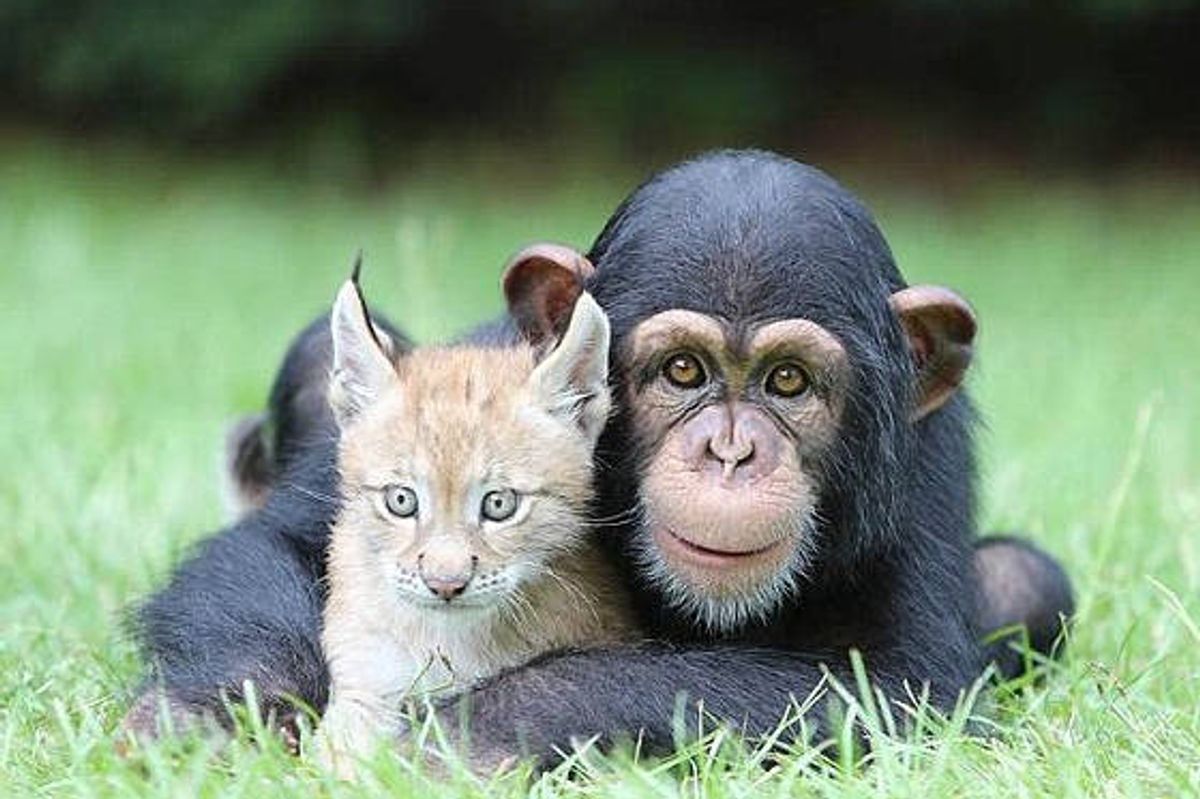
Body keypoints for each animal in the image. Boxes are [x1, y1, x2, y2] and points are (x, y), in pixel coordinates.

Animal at [123, 151, 1074, 767]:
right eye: (684, 370)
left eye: (788, 381)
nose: (732, 451)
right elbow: (276, 545)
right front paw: (207, 715)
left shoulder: (918, 477)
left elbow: (900, 691)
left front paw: (463, 735)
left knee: (1026, 577)